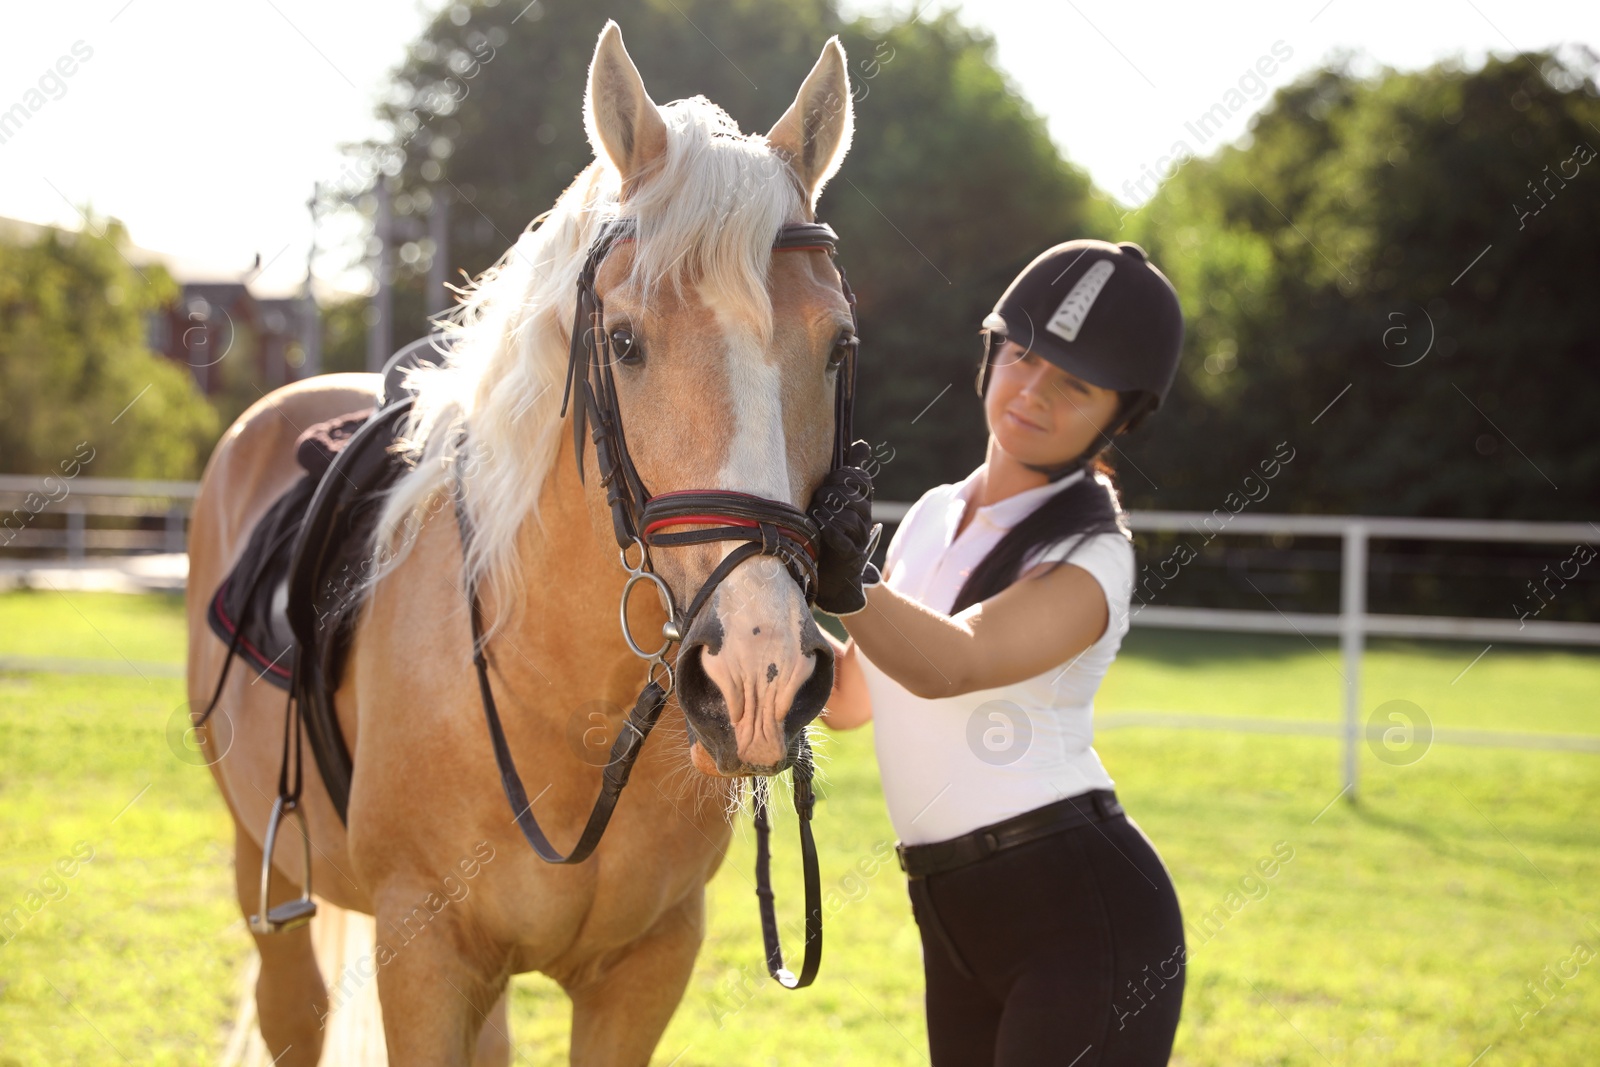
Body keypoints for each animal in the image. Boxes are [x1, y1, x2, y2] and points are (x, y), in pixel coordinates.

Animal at [185, 24, 857, 1067]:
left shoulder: (648, 967)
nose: (760, 670)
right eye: (623, 342)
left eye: (836, 348)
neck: (564, 702)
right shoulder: (423, 957)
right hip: (266, 878)